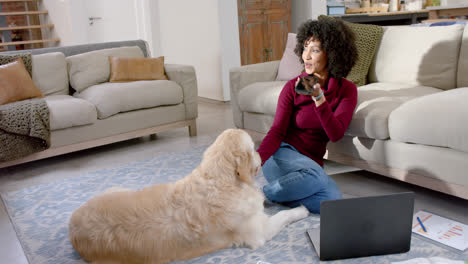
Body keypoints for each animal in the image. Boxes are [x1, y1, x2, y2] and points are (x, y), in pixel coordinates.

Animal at [69, 129, 308, 262]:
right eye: (252, 149)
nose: (260, 154)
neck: (220, 179)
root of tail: (73, 224)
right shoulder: (259, 232)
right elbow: (283, 216)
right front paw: (301, 209)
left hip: (118, 188)